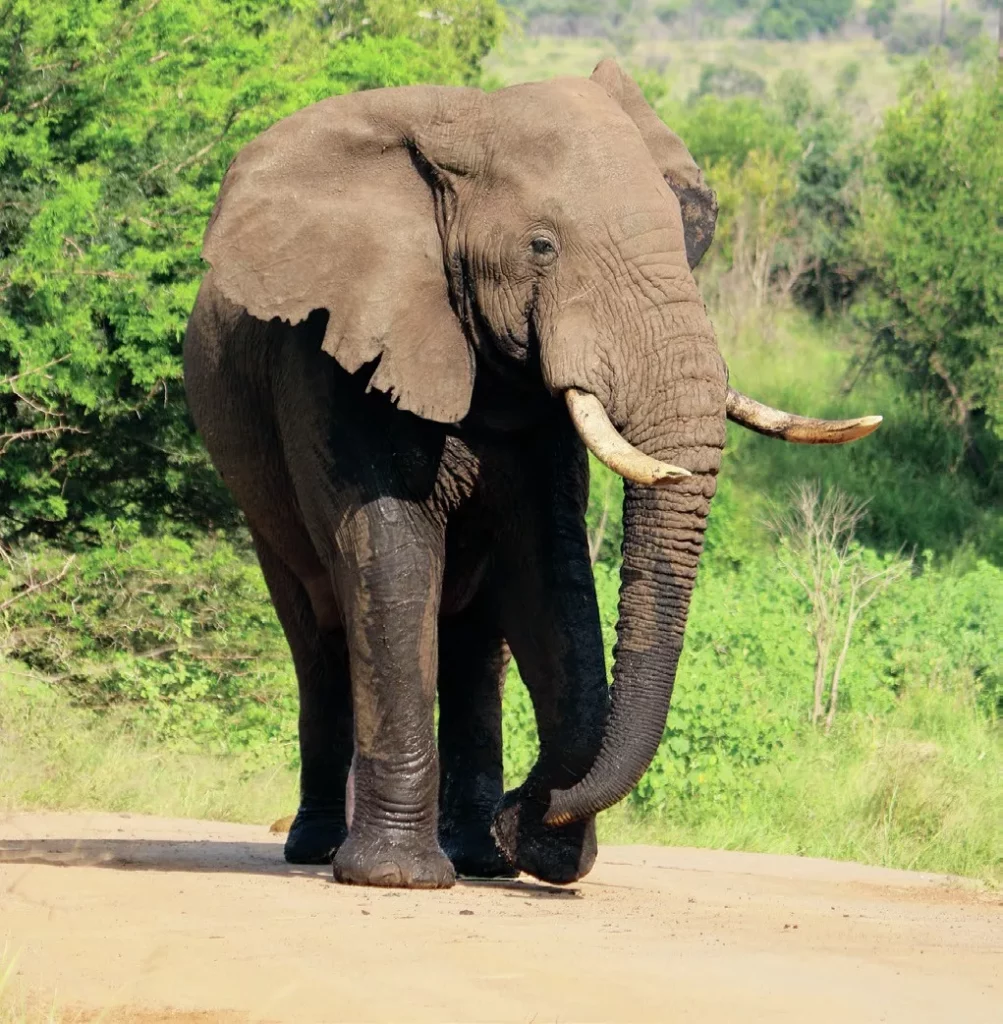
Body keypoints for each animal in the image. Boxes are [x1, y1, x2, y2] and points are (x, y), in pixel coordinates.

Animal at [183, 59, 880, 889]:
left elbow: (547, 567)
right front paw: (398, 879)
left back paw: (479, 858)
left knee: (474, 647)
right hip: (254, 493)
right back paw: (320, 848)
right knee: (318, 632)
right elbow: (391, 555)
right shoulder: (333, 355)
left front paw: (532, 850)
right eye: (541, 246)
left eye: (683, 244)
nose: (528, 811)